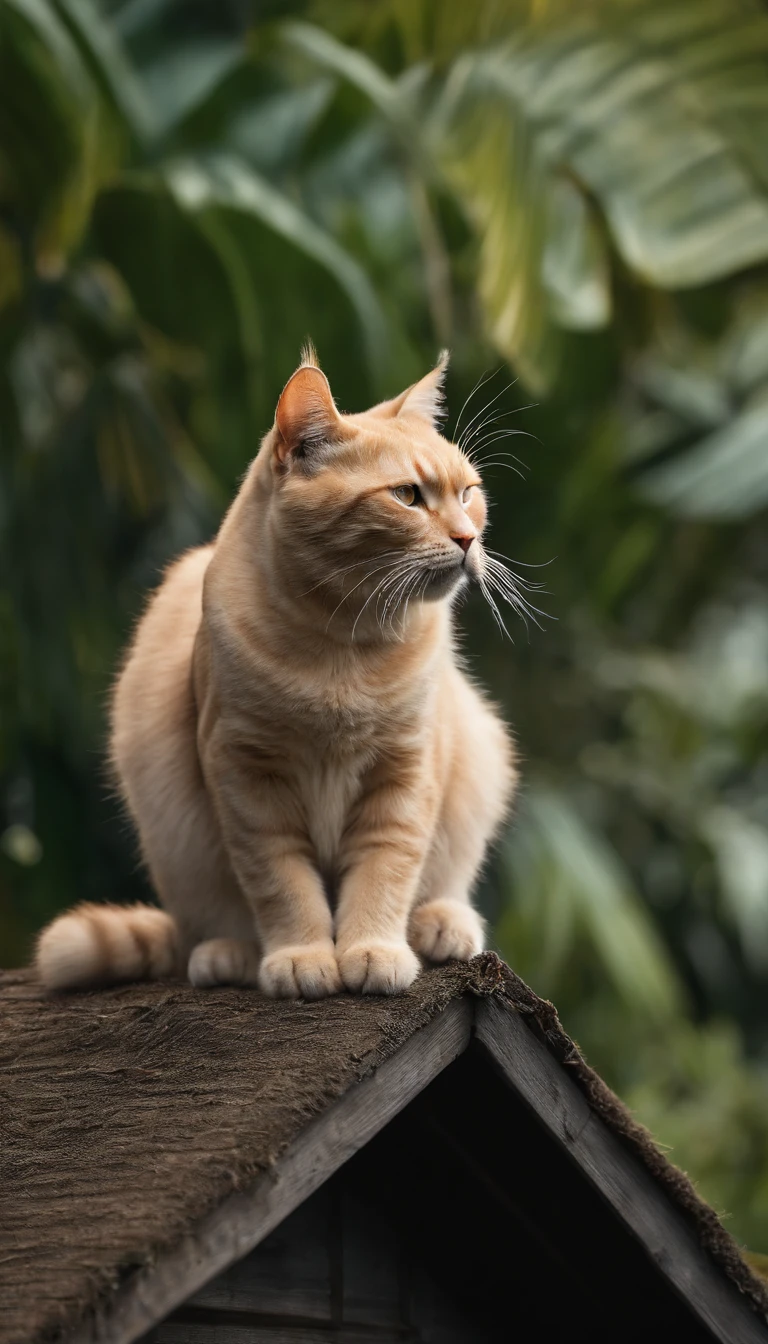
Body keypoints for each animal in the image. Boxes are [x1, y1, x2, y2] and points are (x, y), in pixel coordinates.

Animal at [34, 346, 516, 999]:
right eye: (408, 496)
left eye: (468, 494)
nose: (468, 539)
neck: (343, 647)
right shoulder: (247, 780)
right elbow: (281, 883)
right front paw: (303, 956)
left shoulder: (405, 773)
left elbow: (386, 869)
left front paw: (372, 948)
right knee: (208, 922)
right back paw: (228, 954)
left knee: (443, 882)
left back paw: (440, 924)